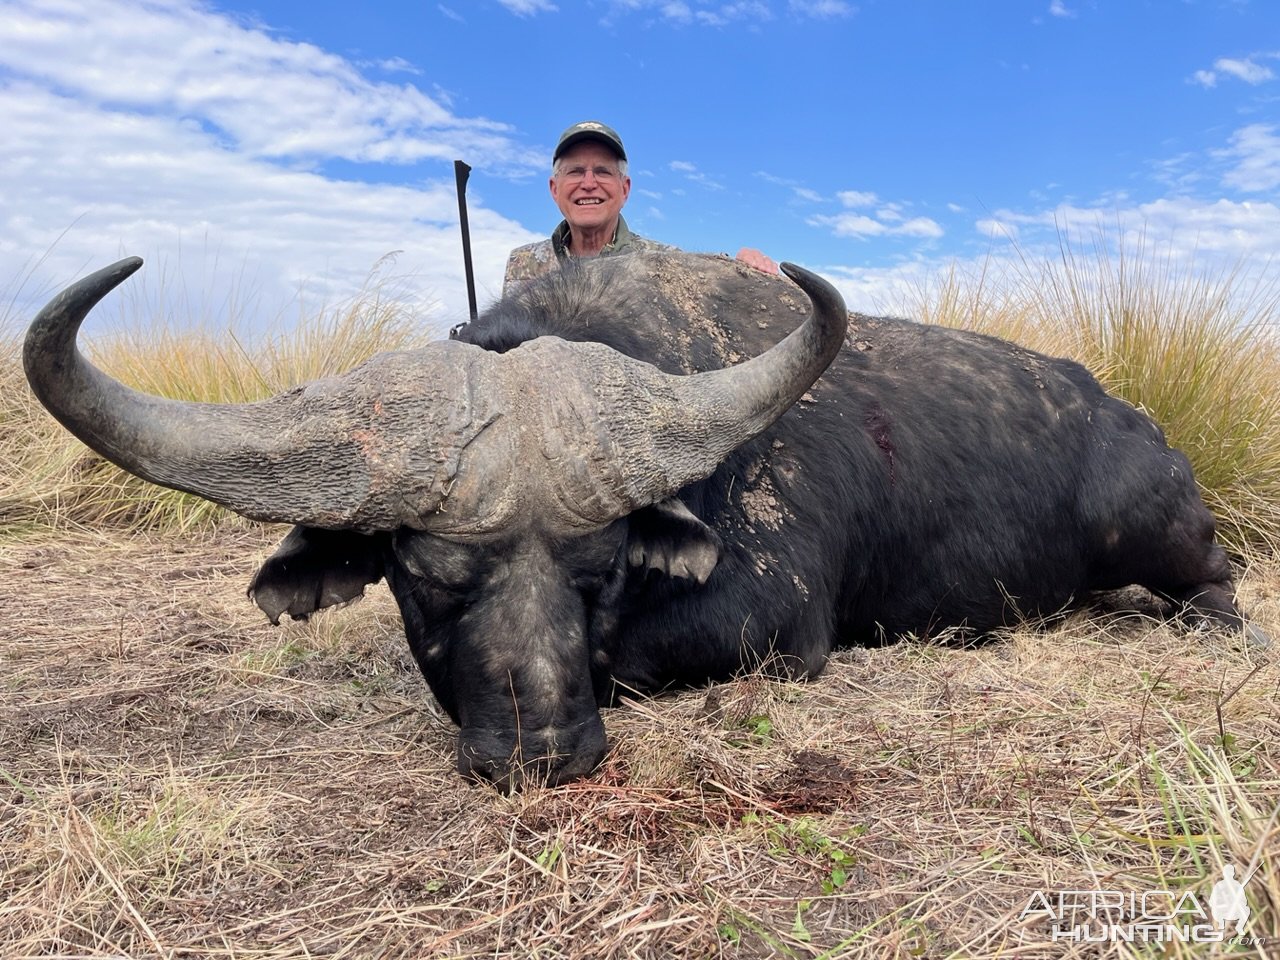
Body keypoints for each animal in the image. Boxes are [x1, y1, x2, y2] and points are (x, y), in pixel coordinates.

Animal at [24, 253, 1264, 788]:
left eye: (603, 565)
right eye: (426, 574)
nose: (545, 756)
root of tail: (1127, 419)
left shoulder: (776, 628)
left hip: (1162, 538)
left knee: (1214, 581)